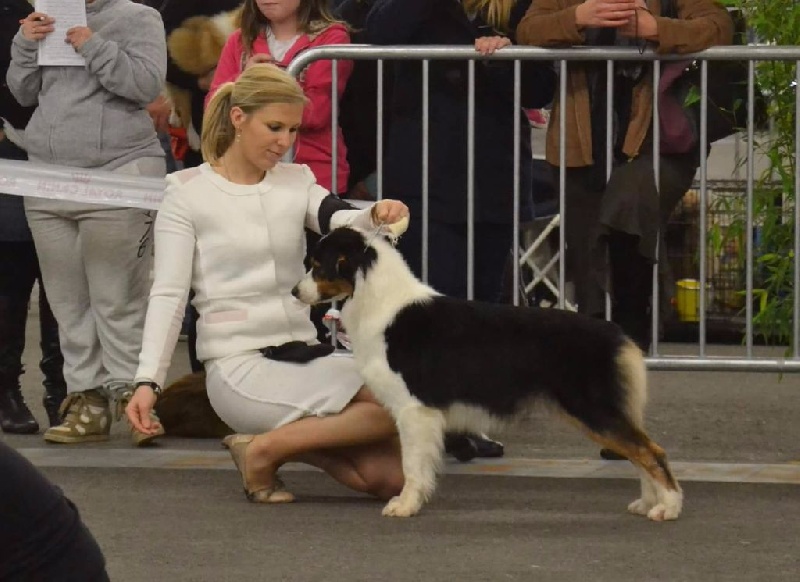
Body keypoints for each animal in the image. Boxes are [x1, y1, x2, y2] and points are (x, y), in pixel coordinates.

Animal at [292, 226, 683, 521]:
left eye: (317, 265)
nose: (295, 291)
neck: (379, 303)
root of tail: (618, 335)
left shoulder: (414, 409)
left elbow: (412, 465)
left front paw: (404, 505)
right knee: (639, 452)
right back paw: (649, 503)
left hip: (593, 408)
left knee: (651, 451)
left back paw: (668, 507)